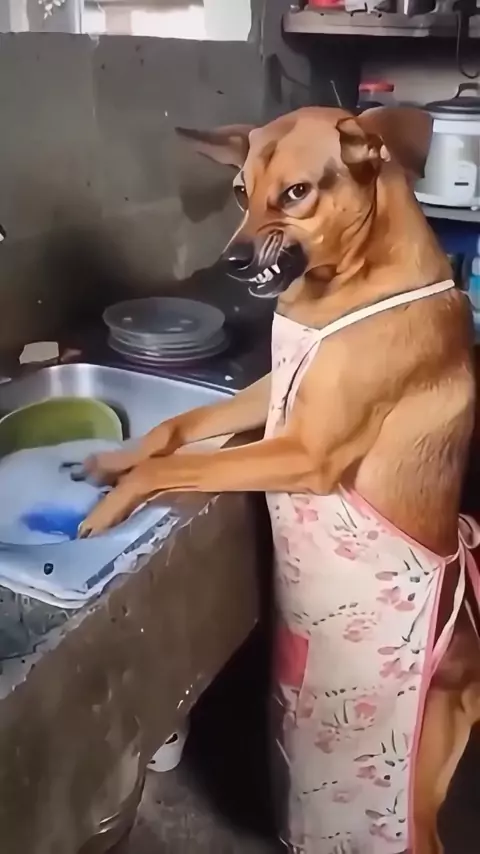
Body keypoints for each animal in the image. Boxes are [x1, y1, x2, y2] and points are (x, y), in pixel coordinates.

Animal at [79, 107, 480, 853]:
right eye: (241, 191)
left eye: (296, 193)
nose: (231, 263)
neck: (348, 283)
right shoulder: (265, 396)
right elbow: (177, 427)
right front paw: (116, 461)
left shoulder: (303, 451)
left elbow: (185, 462)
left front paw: (121, 497)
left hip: (417, 788)